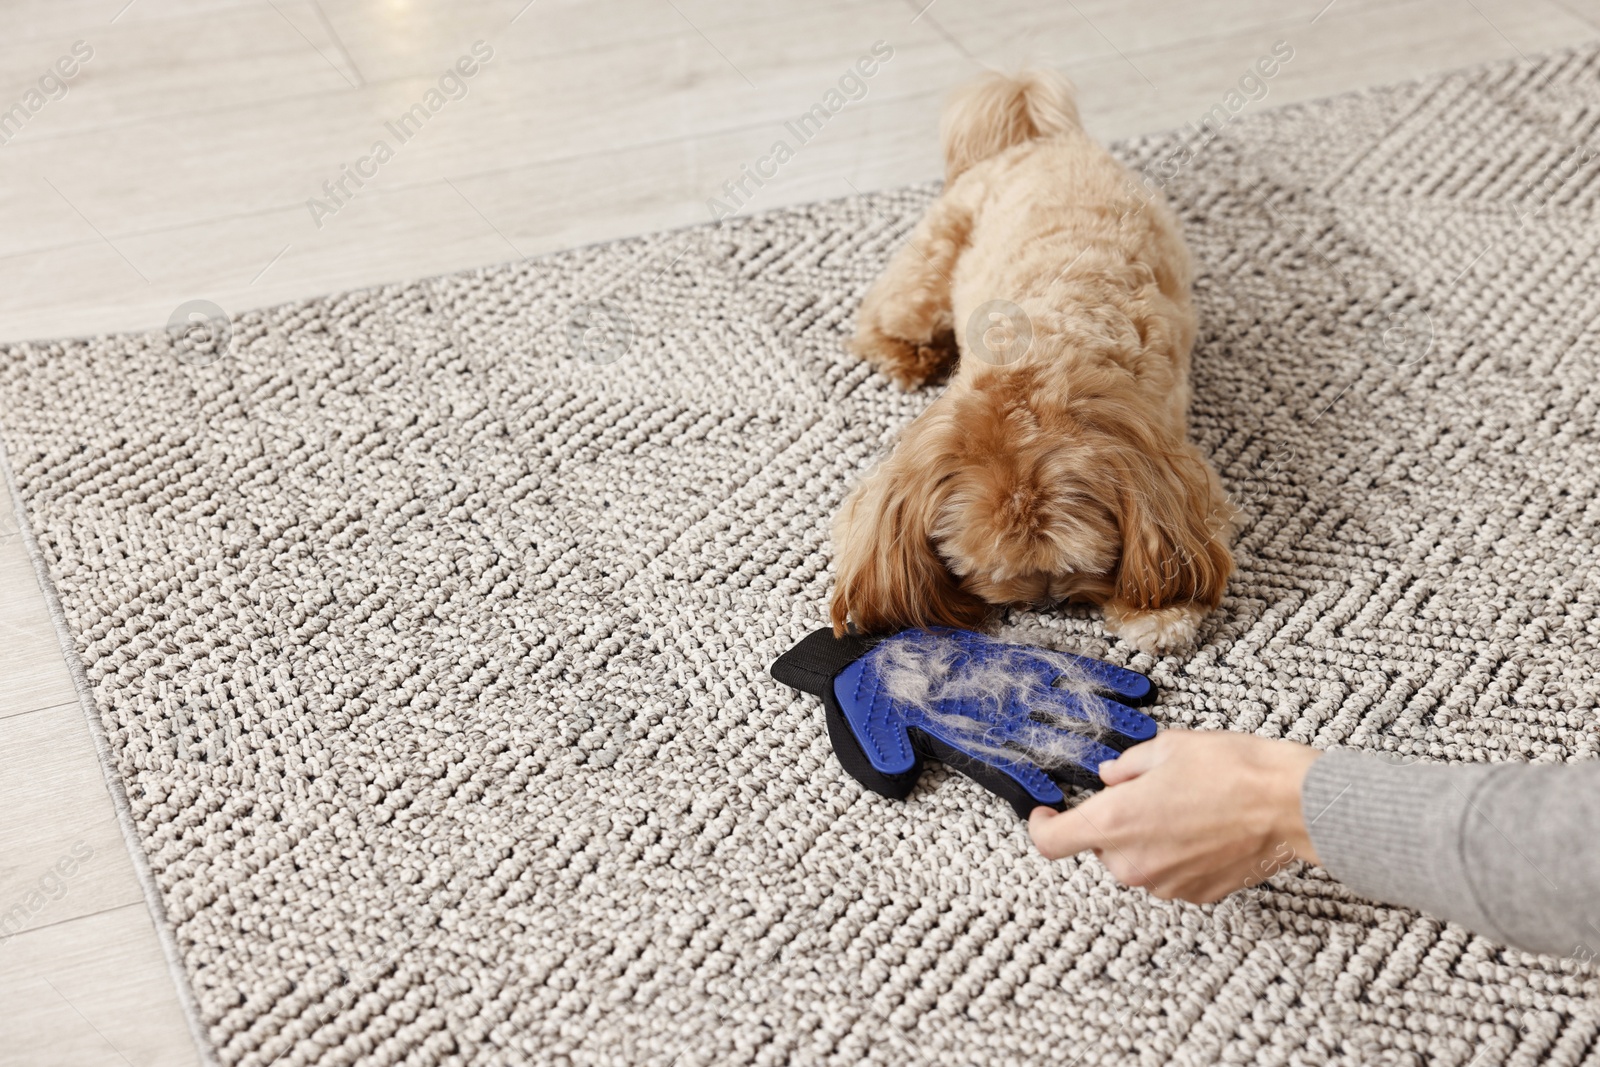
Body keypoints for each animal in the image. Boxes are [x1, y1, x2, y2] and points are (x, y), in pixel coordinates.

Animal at [832, 70, 1228, 655]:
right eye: (985, 569)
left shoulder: (1169, 467)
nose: (1045, 601)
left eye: (1080, 561)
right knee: (888, 312)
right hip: (930, 269)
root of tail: (1036, 137)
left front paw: (1159, 613)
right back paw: (908, 354)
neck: (1041, 354)